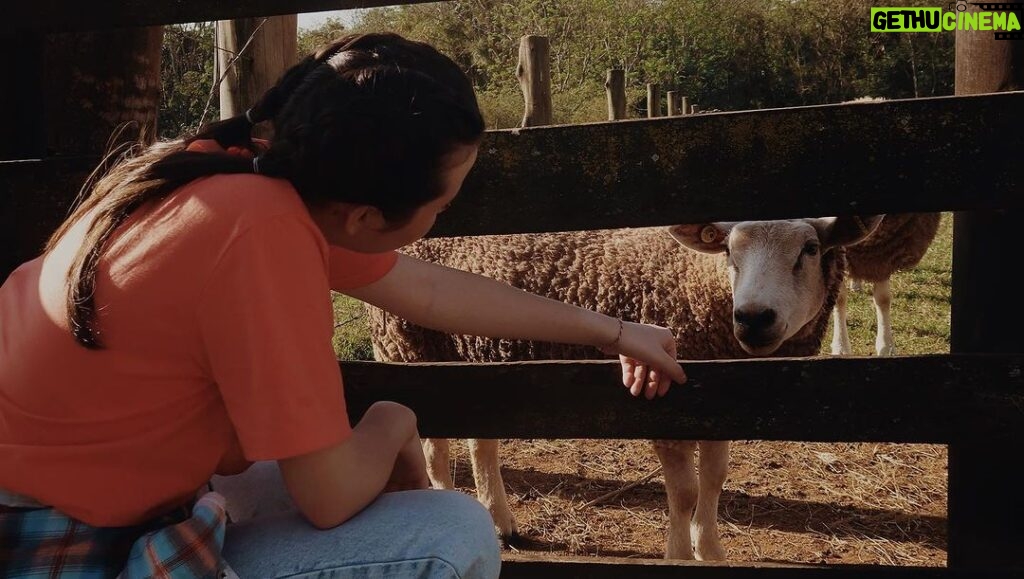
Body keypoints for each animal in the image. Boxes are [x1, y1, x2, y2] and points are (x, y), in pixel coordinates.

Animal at [368, 214, 880, 557]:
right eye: (730, 251)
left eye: (809, 248)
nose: (753, 318)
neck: (699, 281)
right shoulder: (668, 410)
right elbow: (685, 493)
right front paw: (680, 555)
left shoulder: (716, 406)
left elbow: (714, 480)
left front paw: (710, 550)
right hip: (409, 352)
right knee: (435, 448)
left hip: (476, 362)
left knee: (481, 445)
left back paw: (501, 522)